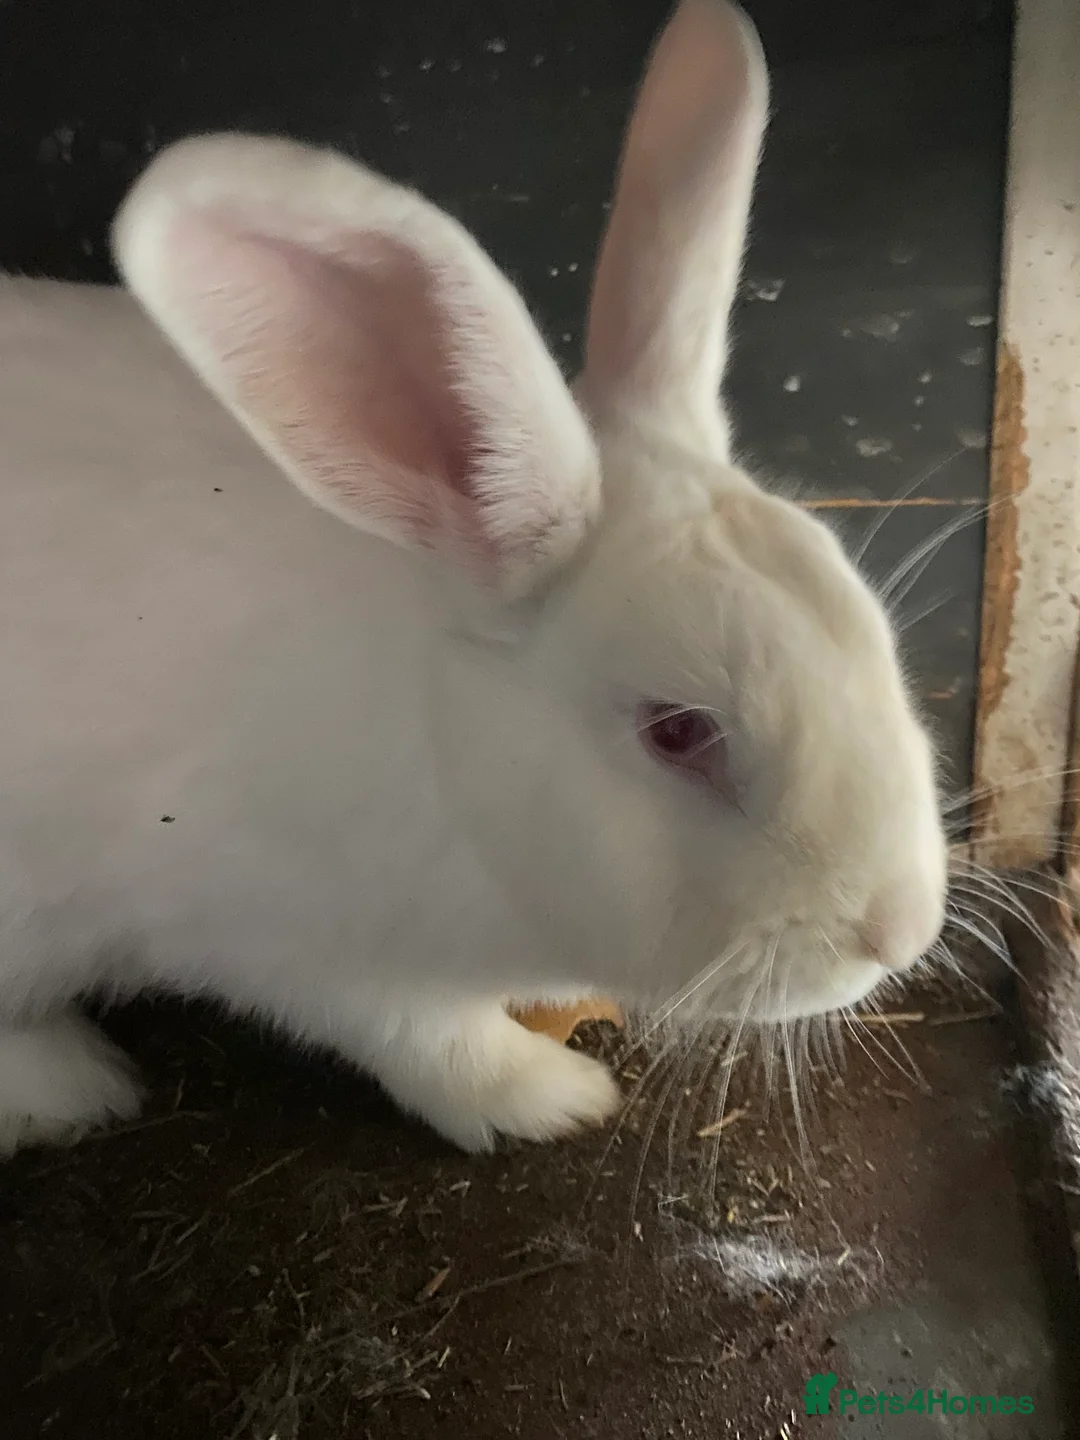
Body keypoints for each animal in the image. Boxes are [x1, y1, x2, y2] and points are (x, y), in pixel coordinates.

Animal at [0, 0, 947, 1157]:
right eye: (679, 732)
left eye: (872, 632)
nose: (900, 931)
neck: (450, 748)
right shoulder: (292, 944)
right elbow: (430, 1040)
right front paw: (554, 1095)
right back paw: (72, 1087)